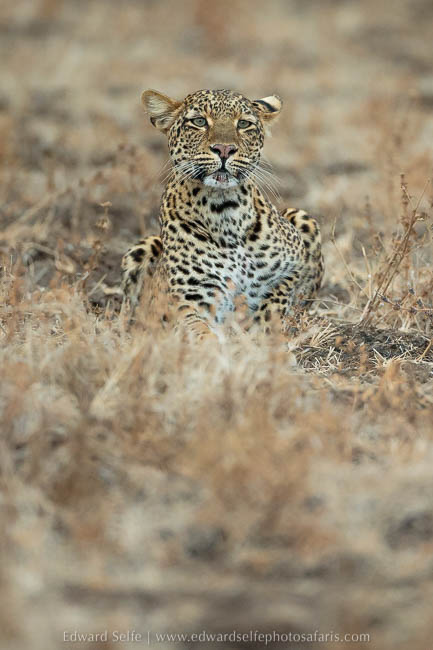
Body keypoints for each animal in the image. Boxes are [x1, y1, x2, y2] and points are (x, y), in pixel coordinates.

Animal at [121, 88, 324, 338]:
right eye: (199, 121)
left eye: (244, 124)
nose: (225, 149)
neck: (225, 210)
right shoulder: (191, 299)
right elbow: (201, 334)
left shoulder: (294, 262)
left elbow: (277, 301)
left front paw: (266, 334)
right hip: (138, 252)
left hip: (302, 216)